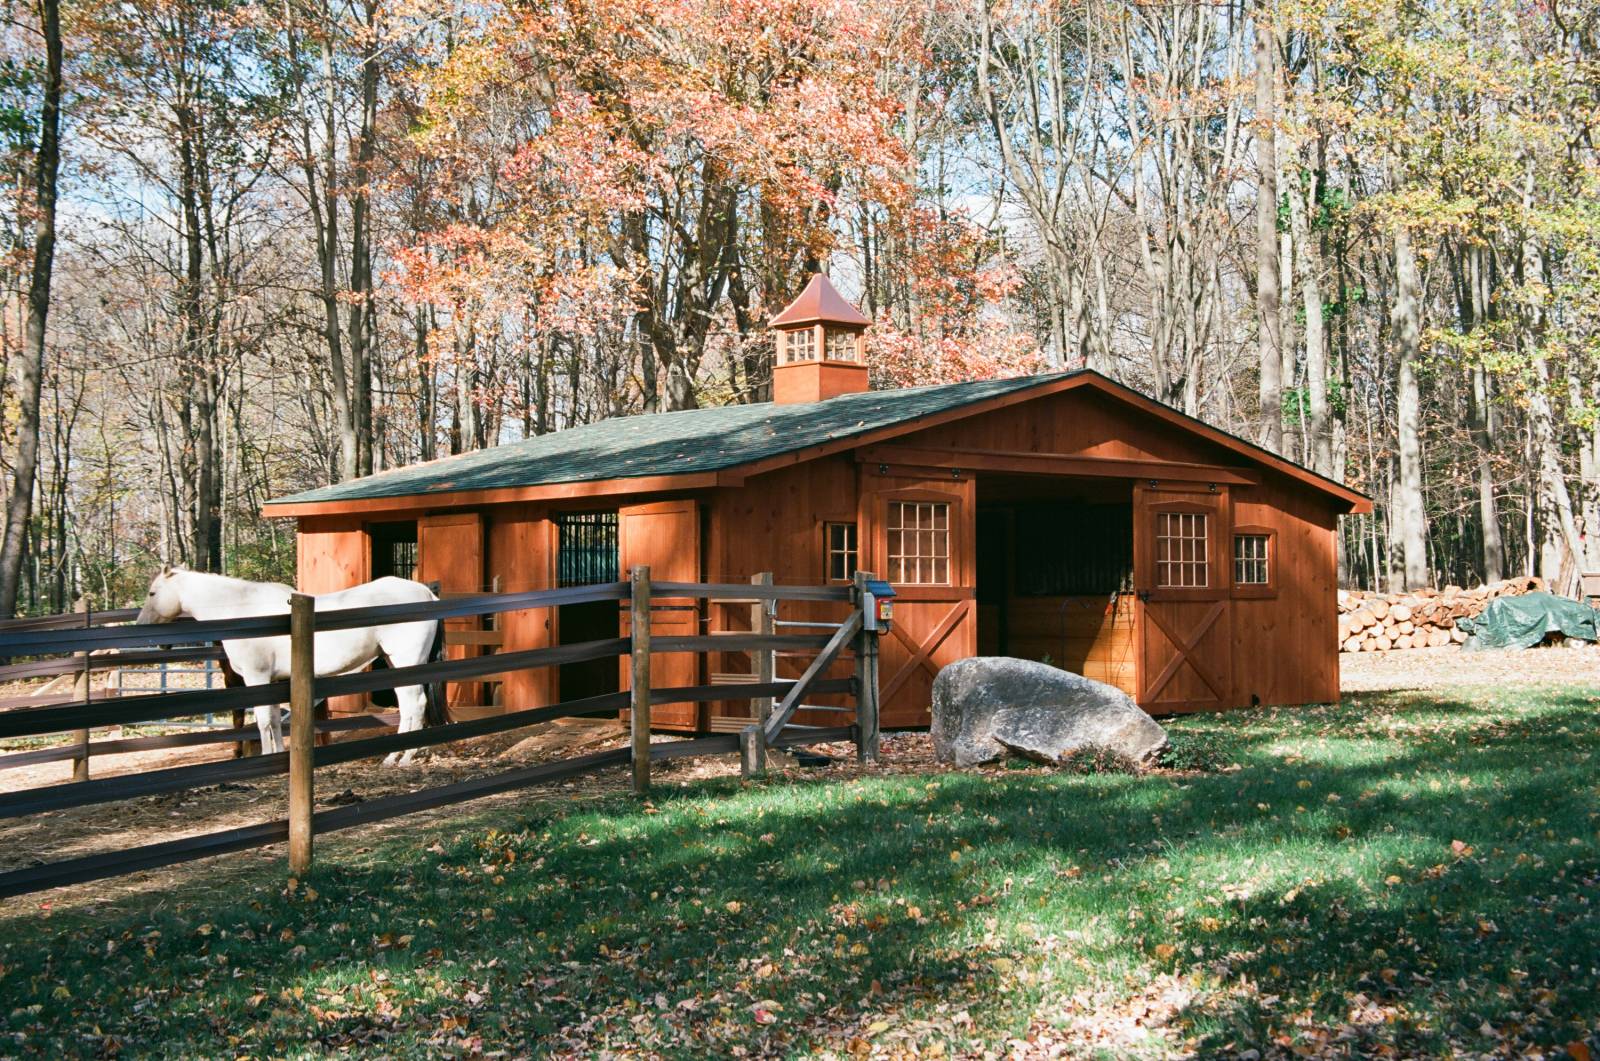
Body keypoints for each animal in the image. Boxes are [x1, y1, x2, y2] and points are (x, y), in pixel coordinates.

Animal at [135, 566, 441, 765]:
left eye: (152, 593)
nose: (141, 628)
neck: (243, 610)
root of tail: (426, 593)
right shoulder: (270, 680)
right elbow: (272, 719)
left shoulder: (256, 678)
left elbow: (262, 721)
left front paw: (266, 758)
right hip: (394, 662)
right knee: (407, 706)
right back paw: (394, 756)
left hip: (405, 659)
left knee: (415, 704)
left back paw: (404, 757)